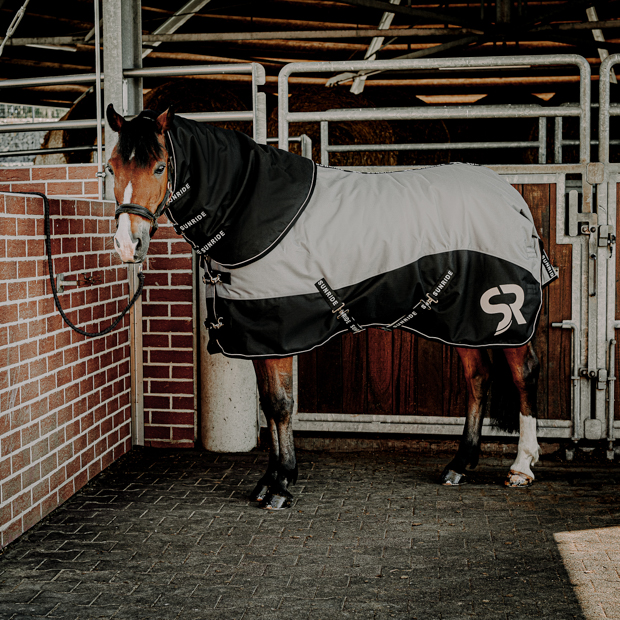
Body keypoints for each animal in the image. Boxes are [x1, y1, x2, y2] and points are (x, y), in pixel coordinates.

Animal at [105, 103, 552, 508]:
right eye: (111, 167)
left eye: (160, 167)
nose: (129, 245)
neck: (251, 208)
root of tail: (511, 197)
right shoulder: (259, 337)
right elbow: (269, 404)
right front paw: (272, 479)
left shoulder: (277, 331)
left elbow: (280, 405)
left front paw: (280, 486)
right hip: (461, 320)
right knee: (478, 378)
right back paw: (460, 465)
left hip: (503, 314)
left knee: (524, 374)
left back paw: (521, 467)